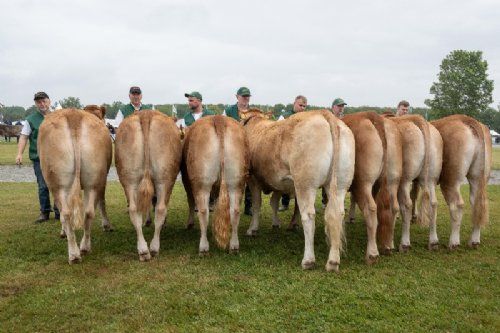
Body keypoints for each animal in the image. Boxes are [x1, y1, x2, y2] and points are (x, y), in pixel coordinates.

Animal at [37, 105, 112, 264]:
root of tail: (74, 115)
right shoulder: (101, 181)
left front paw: (63, 232)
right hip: (93, 179)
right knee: (88, 212)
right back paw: (84, 247)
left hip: (57, 183)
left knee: (66, 213)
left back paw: (73, 254)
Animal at [114, 110, 182, 260]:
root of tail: (146, 114)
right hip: (165, 179)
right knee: (160, 208)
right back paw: (154, 248)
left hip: (129, 178)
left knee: (134, 210)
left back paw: (143, 250)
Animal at [182, 115, 248, 253]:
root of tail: (219, 119)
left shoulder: (186, 180)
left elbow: (191, 201)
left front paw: (189, 224)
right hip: (237, 181)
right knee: (235, 211)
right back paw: (234, 246)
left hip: (201, 183)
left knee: (203, 211)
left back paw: (203, 247)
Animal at [243, 110, 356, 272]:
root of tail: (324, 113)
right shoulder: (279, 182)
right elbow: (273, 202)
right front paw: (276, 223)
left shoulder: (253, 180)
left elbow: (257, 205)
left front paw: (252, 229)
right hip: (340, 184)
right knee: (337, 215)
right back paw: (333, 261)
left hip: (305, 184)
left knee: (308, 216)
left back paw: (308, 260)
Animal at [428, 115, 490, 248]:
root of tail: (465, 118)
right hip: (478, 177)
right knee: (477, 203)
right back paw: (474, 241)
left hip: (450, 180)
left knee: (457, 204)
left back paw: (453, 242)